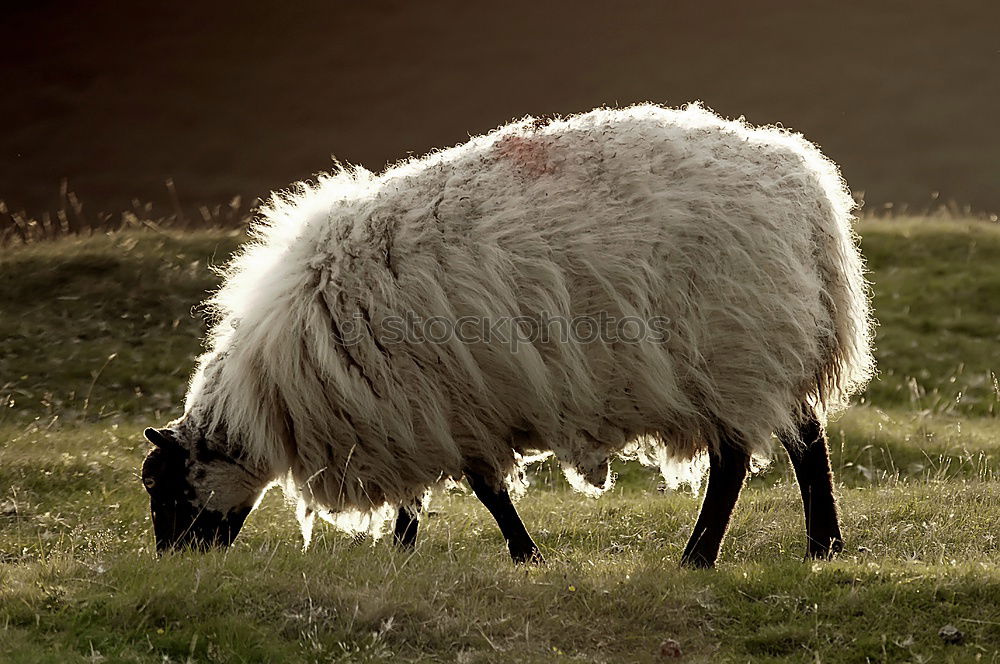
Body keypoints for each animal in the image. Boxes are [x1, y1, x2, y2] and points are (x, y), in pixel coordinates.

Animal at [143, 102, 876, 564]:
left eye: (160, 486)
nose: (173, 563)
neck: (272, 393)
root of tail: (804, 188)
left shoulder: (436, 405)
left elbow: (486, 493)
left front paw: (525, 556)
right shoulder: (421, 410)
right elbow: (427, 495)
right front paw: (403, 553)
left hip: (733, 352)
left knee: (732, 465)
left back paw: (700, 557)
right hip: (771, 347)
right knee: (807, 440)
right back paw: (823, 547)